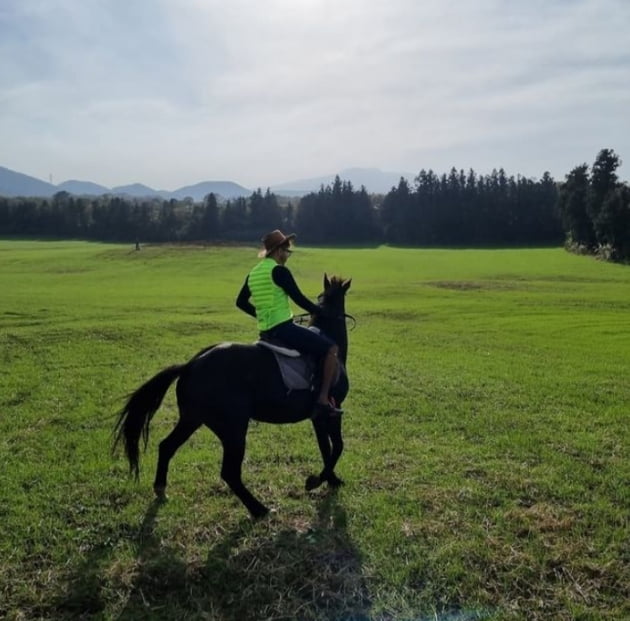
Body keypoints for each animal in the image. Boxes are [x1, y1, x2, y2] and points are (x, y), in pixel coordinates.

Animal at [112, 274, 350, 516]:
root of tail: (190, 365)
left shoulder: (318, 418)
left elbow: (326, 448)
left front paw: (330, 480)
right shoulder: (331, 412)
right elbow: (337, 446)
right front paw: (317, 481)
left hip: (192, 419)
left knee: (167, 446)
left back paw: (161, 489)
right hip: (233, 429)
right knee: (229, 472)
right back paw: (260, 510)